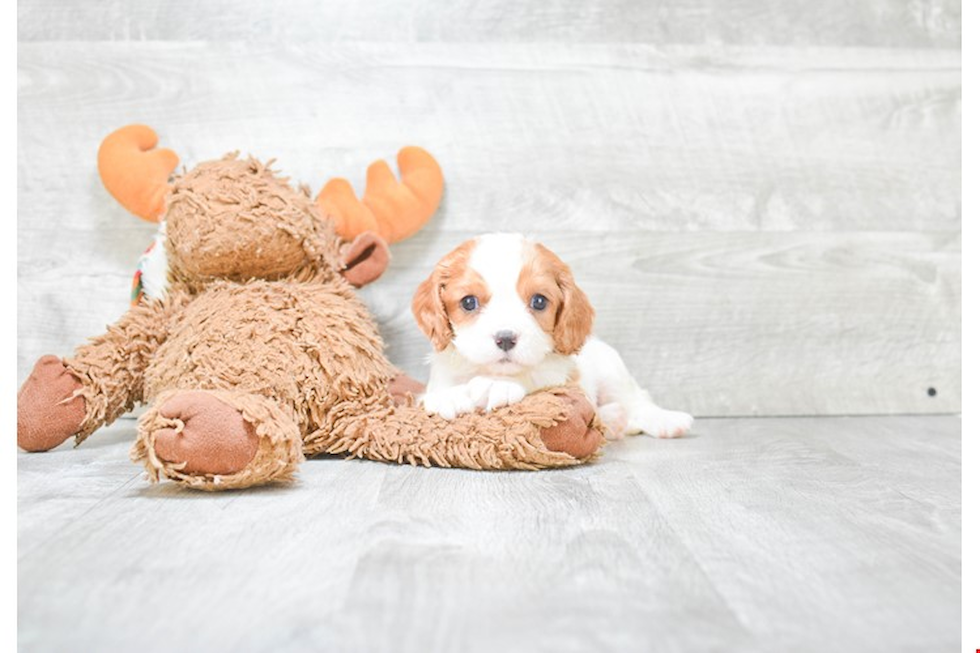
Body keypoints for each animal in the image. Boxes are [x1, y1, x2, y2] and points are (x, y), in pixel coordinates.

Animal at [410, 232, 692, 440]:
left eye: (539, 301)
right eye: (468, 302)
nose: (505, 338)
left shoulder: (563, 380)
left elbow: (536, 379)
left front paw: (497, 384)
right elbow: (436, 392)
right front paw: (448, 396)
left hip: (612, 370)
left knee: (636, 400)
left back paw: (665, 420)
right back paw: (615, 420)